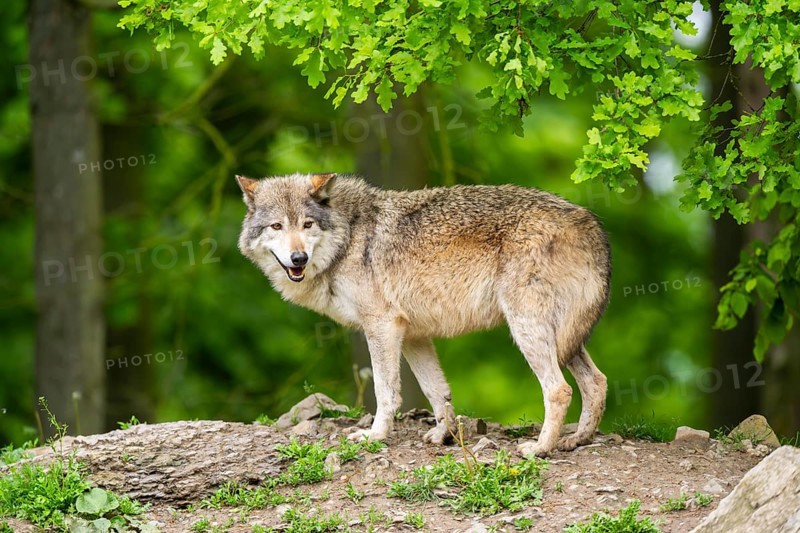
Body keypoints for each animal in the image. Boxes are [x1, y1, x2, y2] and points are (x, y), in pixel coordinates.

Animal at [236, 172, 610, 457]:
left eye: (307, 224)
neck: (349, 237)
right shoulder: (413, 334)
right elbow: (437, 392)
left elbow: (385, 391)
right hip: (564, 337)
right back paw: (577, 440)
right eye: (276, 226)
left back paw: (540, 449)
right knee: (597, 382)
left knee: (559, 390)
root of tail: (589, 222)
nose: (298, 258)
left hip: (528, 330)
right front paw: (444, 436)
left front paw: (375, 436)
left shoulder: (381, 326)